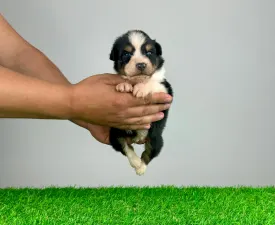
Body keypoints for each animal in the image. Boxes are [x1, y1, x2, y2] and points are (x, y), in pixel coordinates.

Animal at [109, 30, 174, 176]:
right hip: (115, 134)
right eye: (126, 54)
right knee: (126, 147)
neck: (139, 80)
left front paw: (141, 89)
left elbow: (152, 81)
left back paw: (141, 168)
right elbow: (125, 79)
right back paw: (136, 162)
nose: (141, 65)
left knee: (148, 153)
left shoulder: (165, 89)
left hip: (156, 138)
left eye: (149, 52)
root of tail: (138, 138)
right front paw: (124, 85)